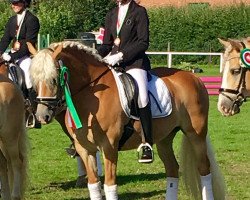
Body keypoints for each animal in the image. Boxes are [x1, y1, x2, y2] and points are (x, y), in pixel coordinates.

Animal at [27, 41, 227, 199]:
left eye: (54, 79)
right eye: (34, 80)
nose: (42, 116)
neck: (91, 96)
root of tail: (194, 77)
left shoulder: (109, 147)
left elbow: (109, 186)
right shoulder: (85, 149)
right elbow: (94, 186)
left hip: (196, 134)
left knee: (204, 169)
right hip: (164, 138)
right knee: (172, 169)